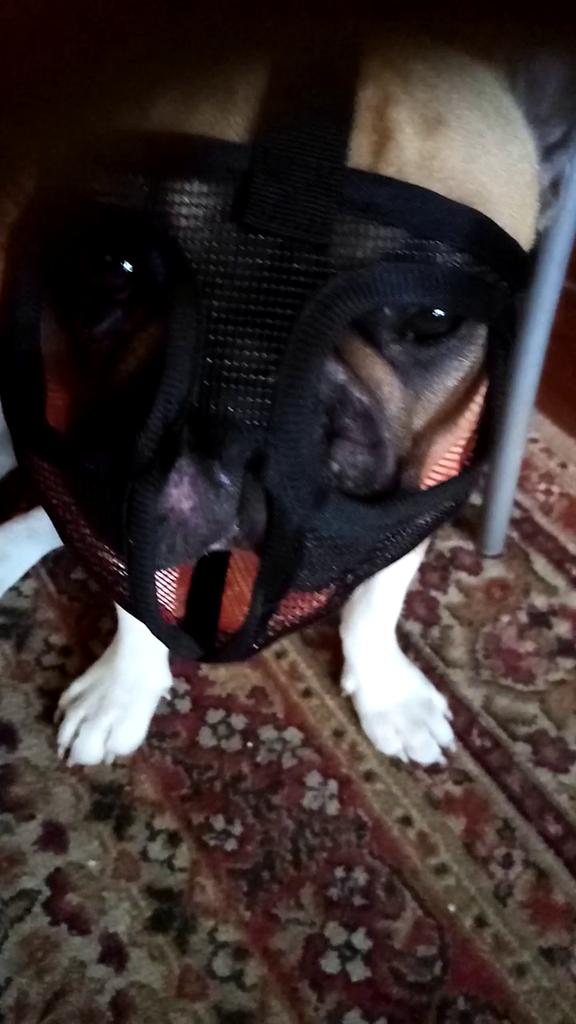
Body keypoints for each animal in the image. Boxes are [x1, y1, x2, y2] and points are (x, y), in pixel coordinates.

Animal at [0, 23, 574, 768]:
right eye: (112, 266)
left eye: (431, 317)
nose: (246, 396)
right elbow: (136, 598)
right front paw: (121, 692)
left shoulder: (425, 483)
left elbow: (379, 599)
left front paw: (387, 693)